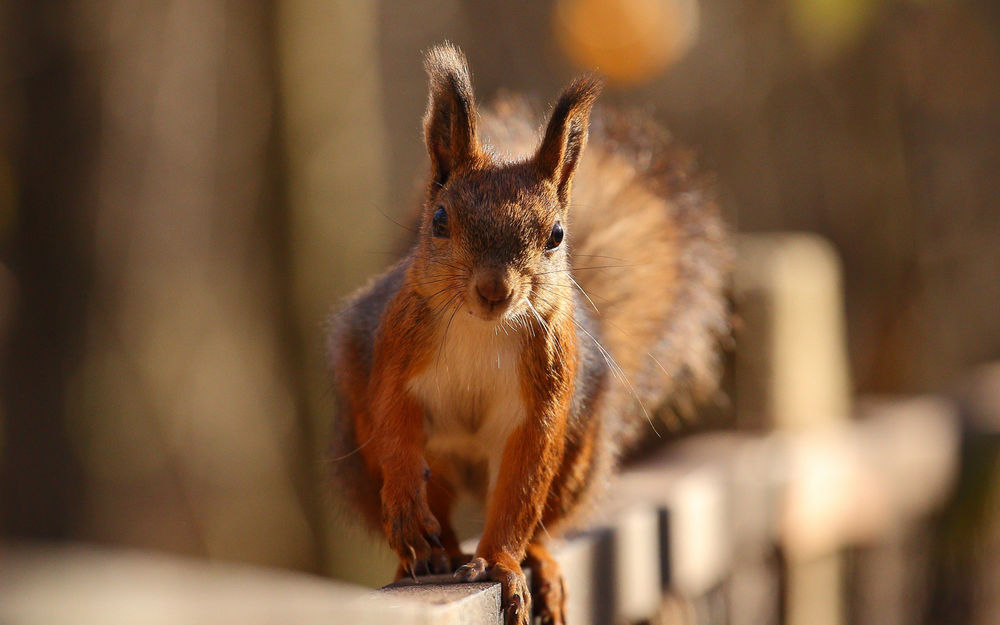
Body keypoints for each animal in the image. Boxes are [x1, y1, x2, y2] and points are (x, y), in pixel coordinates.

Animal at [326, 44, 728, 624]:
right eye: (440, 220)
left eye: (556, 235)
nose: (494, 289)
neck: (482, 329)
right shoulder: (395, 352)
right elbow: (394, 423)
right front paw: (406, 506)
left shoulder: (545, 395)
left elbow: (523, 481)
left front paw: (500, 564)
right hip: (374, 456)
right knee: (433, 505)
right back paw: (428, 554)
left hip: (580, 459)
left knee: (541, 519)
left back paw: (535, 561)